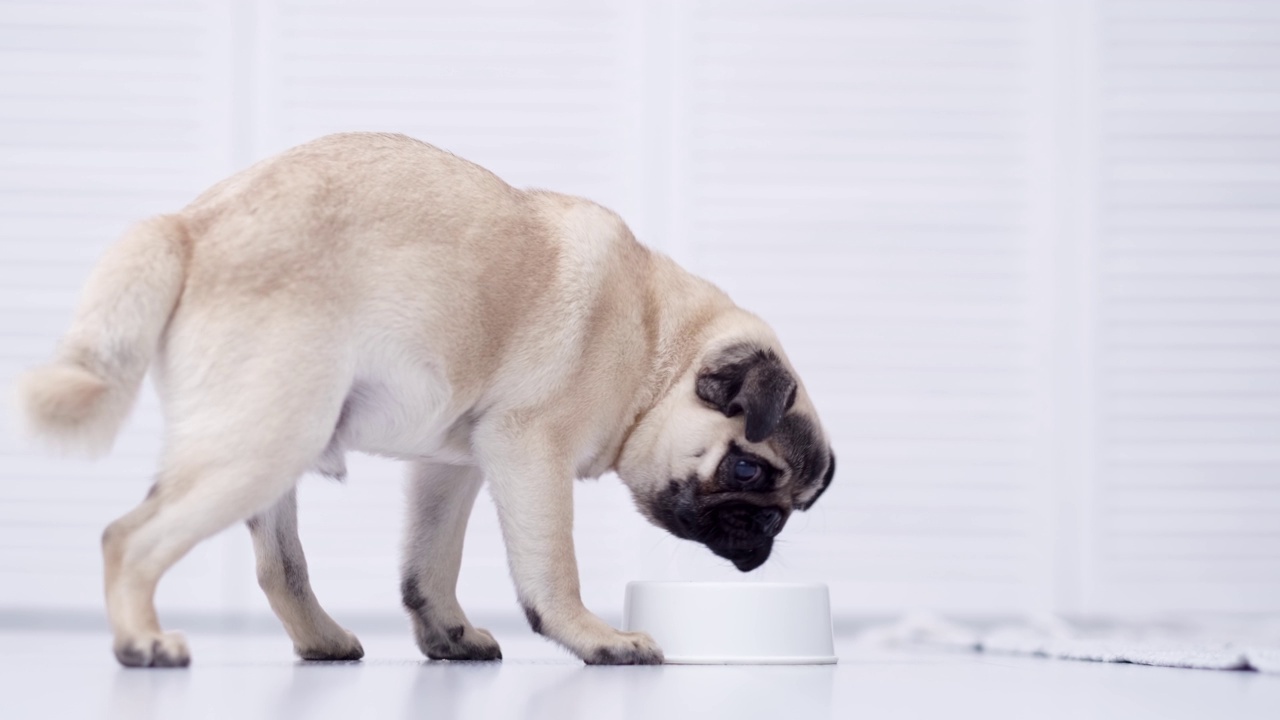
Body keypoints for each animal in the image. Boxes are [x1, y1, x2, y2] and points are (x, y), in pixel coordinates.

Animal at [22, 130, 839, 666]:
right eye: (747, 471)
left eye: (793, 511)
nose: (760, 536)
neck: (654, 343)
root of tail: (187, 226)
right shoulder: (529, 452)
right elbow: (553, 565)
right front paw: (593, 637)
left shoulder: (452, 469)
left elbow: (430, 567)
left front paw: (447, 635)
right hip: (262, 441)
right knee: (130, 538)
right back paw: (143, 641)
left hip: (271, 437)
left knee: (279, 565)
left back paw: (320, 640)